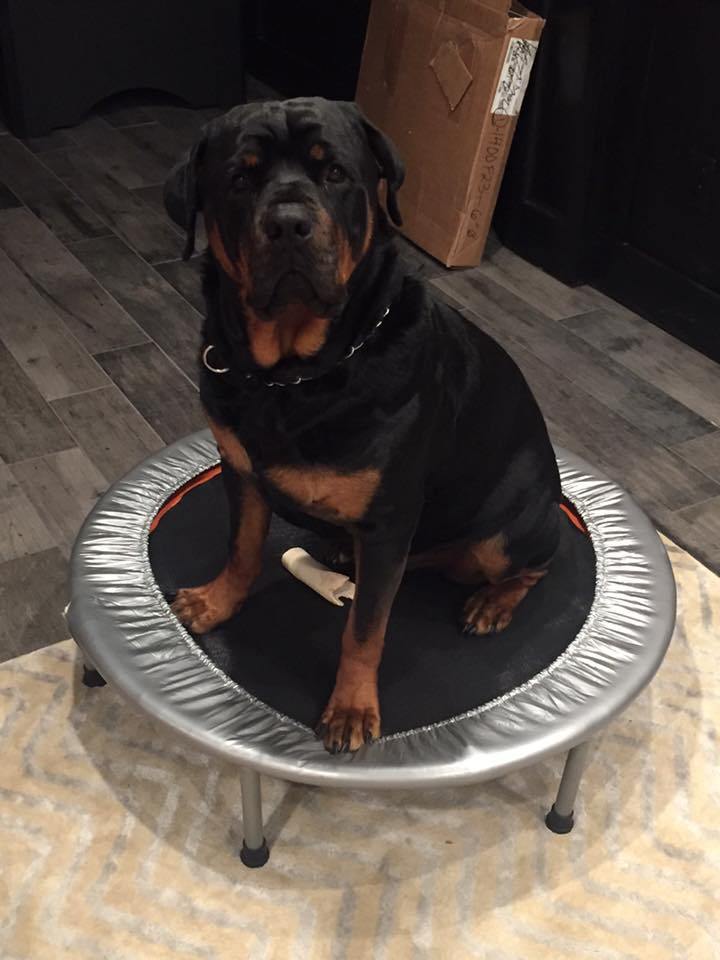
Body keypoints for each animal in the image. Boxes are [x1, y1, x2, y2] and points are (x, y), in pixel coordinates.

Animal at [165, 97, 564, 756]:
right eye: (240, 180)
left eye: (335, 174)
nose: (289, 223)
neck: (296, 375)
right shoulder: (240, 473)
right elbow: (243, 549)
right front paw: (216, 601)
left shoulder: (387, 522)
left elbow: (365, 629)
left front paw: (351, 708)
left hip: (510, 527)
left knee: (533, 563)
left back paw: (491, 603)